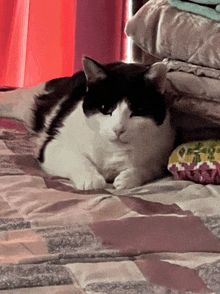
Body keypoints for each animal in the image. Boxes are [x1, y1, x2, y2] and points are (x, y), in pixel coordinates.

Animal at [0, 57, 175, 191]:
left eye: (137, 111)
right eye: (105, 108)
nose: (118, 129)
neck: (114, 149)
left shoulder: (161, 154)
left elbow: (148, 167)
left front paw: (127, 178)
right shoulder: (54, 145)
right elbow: (77, 159)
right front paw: (91, 180)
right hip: (28, 103)